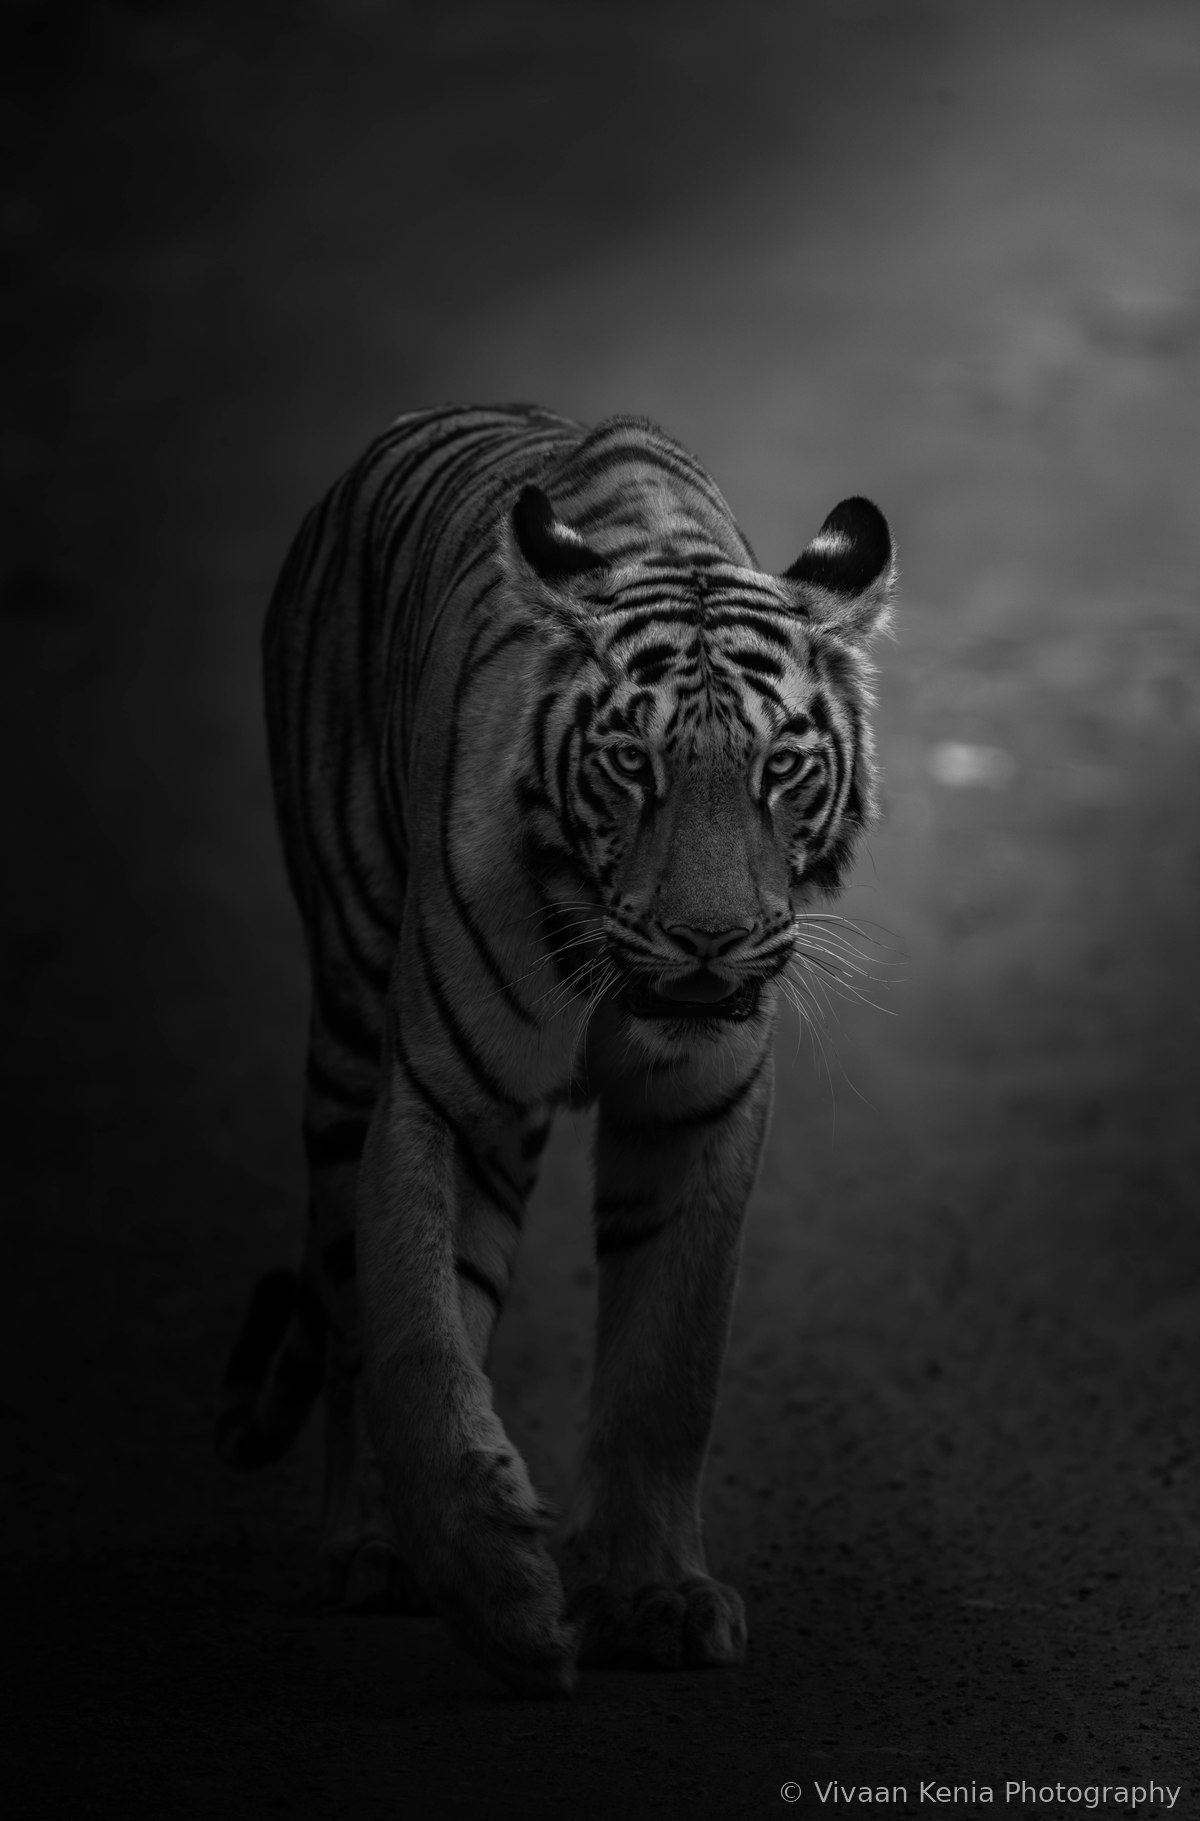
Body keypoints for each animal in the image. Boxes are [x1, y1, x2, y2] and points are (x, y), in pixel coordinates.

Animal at [216, 403, 895, 1697]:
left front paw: (655, 1596)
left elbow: (667, 1367)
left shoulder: (700, 1112)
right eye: (633, 763)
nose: (707, 940)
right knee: (350, 1304)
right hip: (346, 1020)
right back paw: (373, 1549)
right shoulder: (446, 1097)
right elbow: (419, 1340)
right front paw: (499, 1598)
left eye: (780, 766)